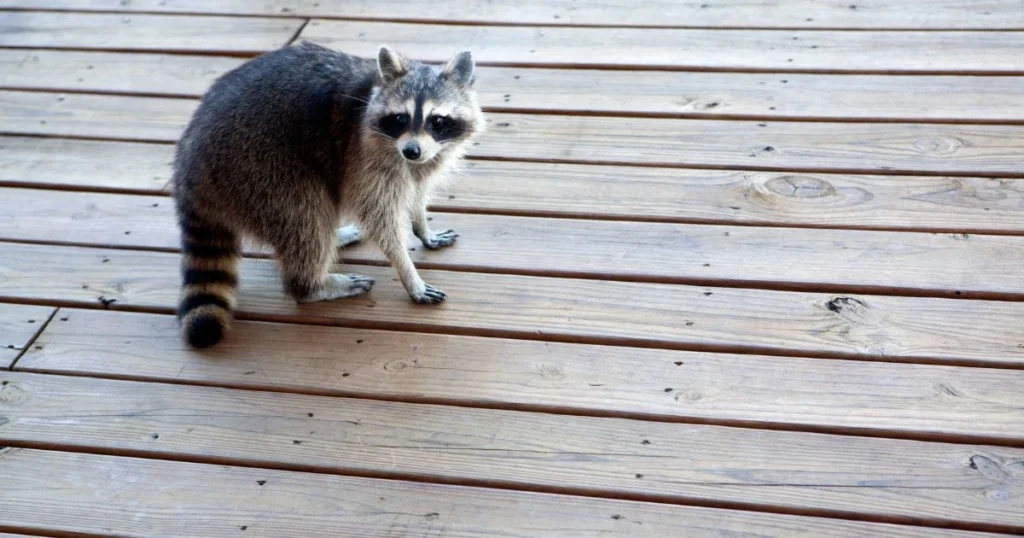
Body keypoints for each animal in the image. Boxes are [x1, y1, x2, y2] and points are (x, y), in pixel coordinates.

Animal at [171, 39, 483, 346]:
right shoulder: (364, 155)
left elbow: (416, 191)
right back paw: (311, 286)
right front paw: (407, 271)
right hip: (259, 168)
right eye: (399, 118)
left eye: (437, 120)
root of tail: (189, 159)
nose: (412, 150)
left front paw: (421, 226)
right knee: (305, 221)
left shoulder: (424, 159)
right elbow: (378, 216)